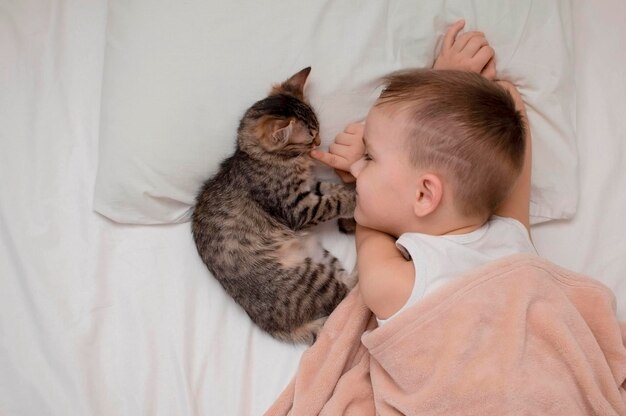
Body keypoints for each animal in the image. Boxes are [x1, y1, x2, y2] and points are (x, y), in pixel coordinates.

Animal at [190, 66, 356, 342]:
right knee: (346, 299)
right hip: (311, 279)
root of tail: (277, 328)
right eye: (310, 137)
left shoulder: (310, 189)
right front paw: (356, 198)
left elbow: (331, 190)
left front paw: (350, 191)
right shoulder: (297, 209)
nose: (320, 141)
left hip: (322, 258)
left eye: (318, 128)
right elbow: (333, 201)